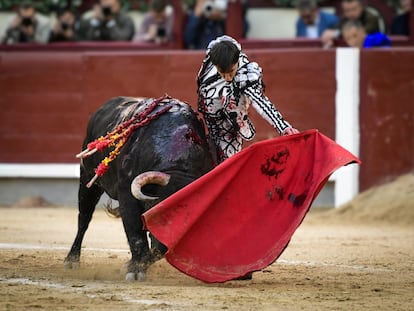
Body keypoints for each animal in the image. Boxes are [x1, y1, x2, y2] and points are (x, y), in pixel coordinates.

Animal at [64, 96, 217, 282]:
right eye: (161, 212)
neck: (180, 164)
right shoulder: (127, 194)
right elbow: (136, 233)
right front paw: (135, 270)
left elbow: (156, 248)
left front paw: (132, 265)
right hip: (88, 179)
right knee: (84, 219)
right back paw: (71, 260)